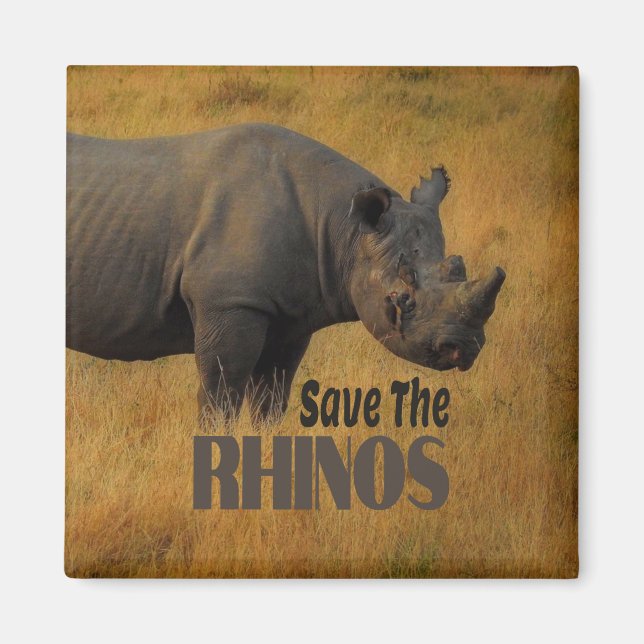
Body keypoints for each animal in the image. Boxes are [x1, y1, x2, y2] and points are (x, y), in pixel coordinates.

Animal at [67, 123, 505, 423]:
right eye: (403, 298)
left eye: (457, 267)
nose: (464, 348)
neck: (344, 228)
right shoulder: (230, 301)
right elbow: (221, 392)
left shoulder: (291, 314)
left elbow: (272, 398)